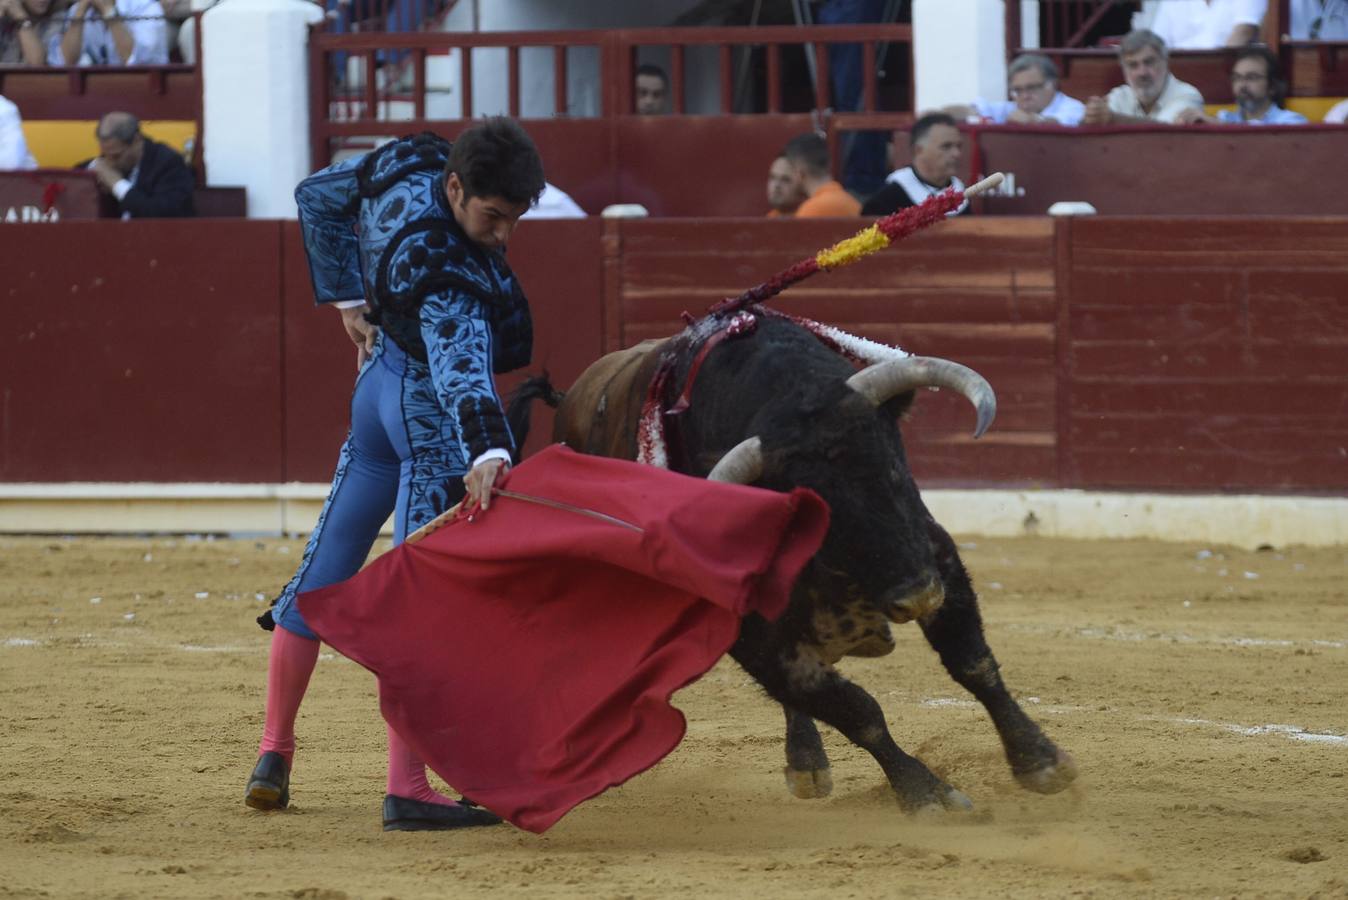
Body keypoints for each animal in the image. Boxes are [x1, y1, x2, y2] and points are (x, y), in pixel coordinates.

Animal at [506, 311, 1073, 813]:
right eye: (824, 514)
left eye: (895, 468)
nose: (918, 595)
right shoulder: (754, 635)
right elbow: (857, 711)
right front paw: (926, 794)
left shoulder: (938, 556)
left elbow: (972, 663)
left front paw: (1040, 760)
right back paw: (807, 763)